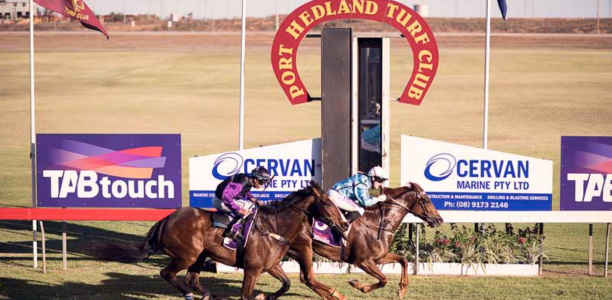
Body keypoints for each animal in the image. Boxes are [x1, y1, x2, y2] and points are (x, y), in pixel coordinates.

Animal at [90, 182, 350, 300]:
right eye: (326, 202)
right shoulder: (252, 269)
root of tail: (164, 221)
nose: (345, 224)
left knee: (191, 278)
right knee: (168, 274)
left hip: (200, 256)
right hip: (188, 255)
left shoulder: (270, 265)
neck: (274, 227)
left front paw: (266, 295)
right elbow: (247, 295)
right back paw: (191, 295)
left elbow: (286, 284)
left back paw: (208, 295)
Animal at [284, 182, 444, 298]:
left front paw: (402, 289)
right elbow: (384, 279)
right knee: (308, 278)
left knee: (305, 279)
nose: (439, 220)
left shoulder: (379, 257)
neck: (379, 223)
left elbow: (403, 260)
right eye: (426, 200)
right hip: (304, 248)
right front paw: (358, 284)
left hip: (299, 251)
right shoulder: (362, 261)